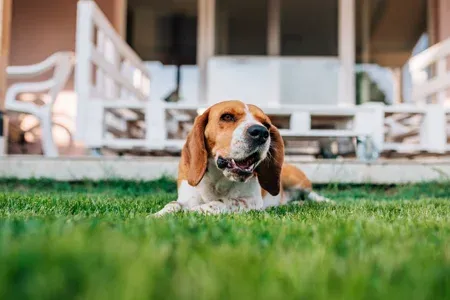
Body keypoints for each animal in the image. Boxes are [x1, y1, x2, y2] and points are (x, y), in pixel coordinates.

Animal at [156, 101, 330, 216]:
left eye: (266, 124)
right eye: (227, 116)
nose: (261, 132)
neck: (218, 181)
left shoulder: (252, 201)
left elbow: (223, 202)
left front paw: (195, 211)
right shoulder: (186, 197)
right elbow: (173, 204)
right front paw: (158, 216)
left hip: (298, 182)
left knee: (313, 195)